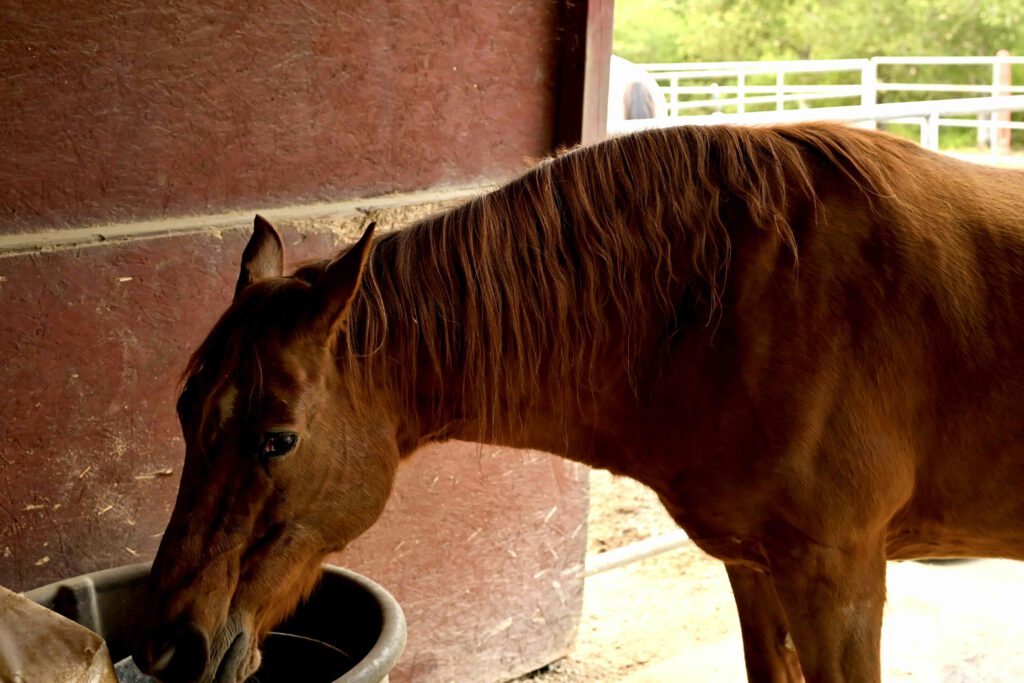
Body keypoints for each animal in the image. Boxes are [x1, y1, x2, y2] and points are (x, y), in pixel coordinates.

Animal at [133, 122, 1024, 683]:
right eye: (183, 415)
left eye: (276, 439)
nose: (169, 645)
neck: (745, 305)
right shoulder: (754, 568)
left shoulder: (838, 579)